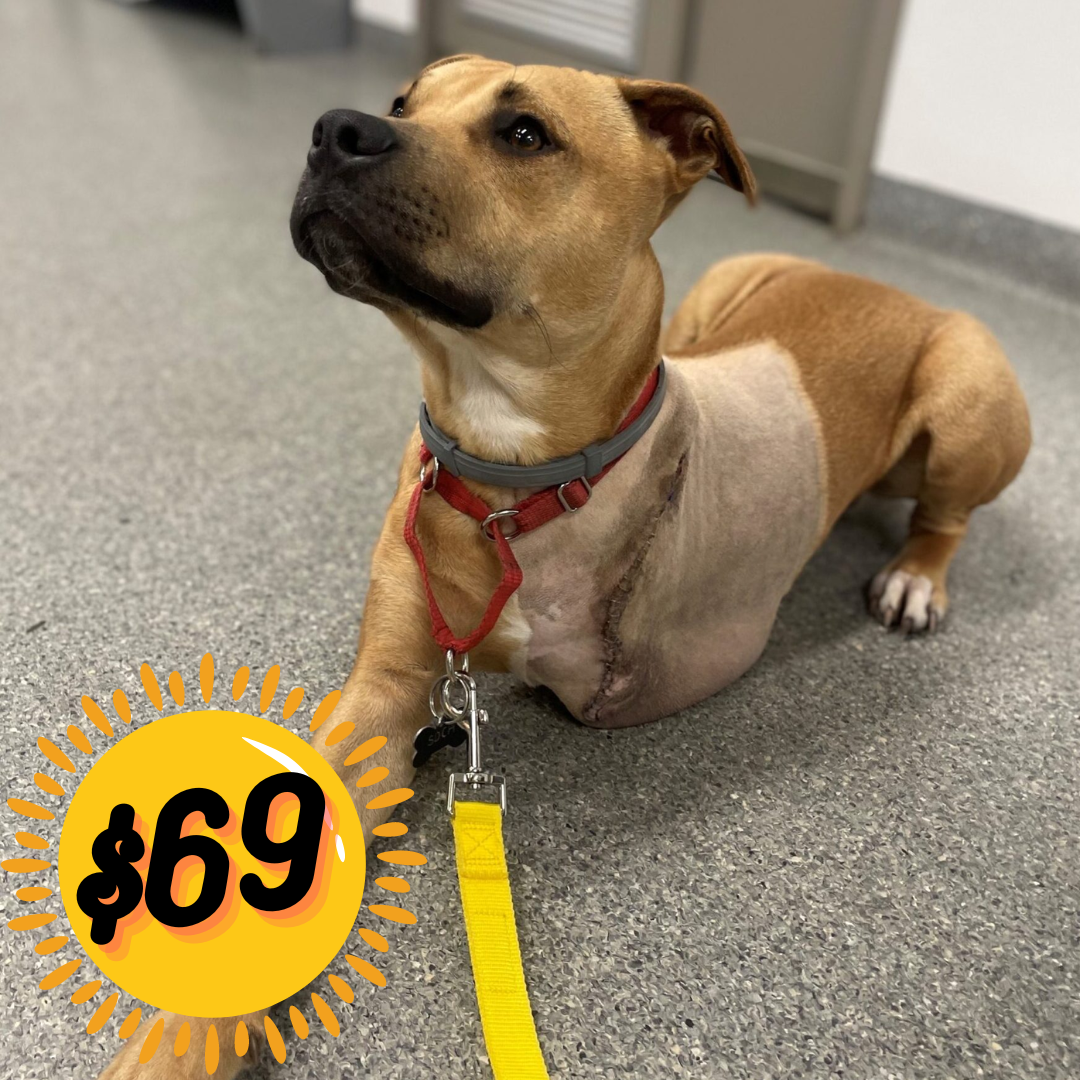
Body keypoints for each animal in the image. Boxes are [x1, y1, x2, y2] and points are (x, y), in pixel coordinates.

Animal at [100, 54, 1030, 1078]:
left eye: (525, 134)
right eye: (402, 103)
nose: (333, 129)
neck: (506, 477)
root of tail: (890, 286)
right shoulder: (383, 693)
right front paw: (176, 1042)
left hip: (975, 394)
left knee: (945, 516)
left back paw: (917, 576)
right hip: (730, 284)